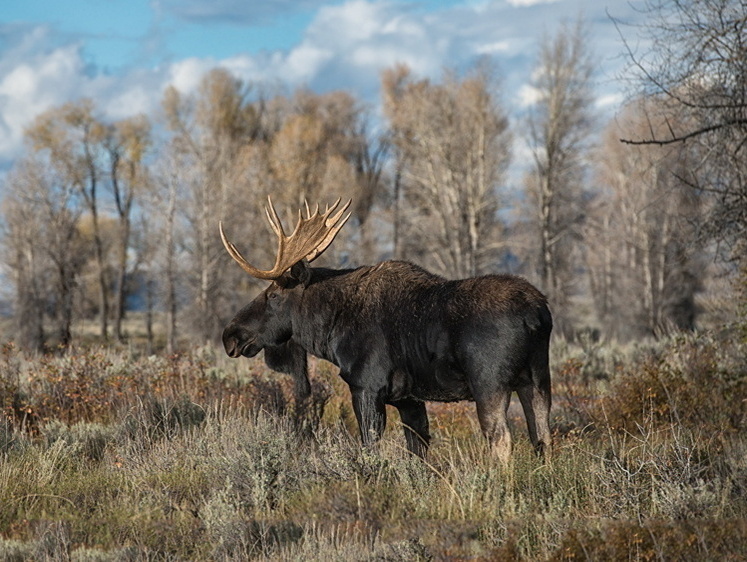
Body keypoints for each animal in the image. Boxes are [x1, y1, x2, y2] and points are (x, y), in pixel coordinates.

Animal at [219, 197, 552, 460]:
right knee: (542, 437)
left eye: (273, 294)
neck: (329, 331)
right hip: (537, 379)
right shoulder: (409, 399)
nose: (230, 336)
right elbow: (418, 452)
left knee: (502, 440)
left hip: (490, 383)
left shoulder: (366, 386)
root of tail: (537, 314)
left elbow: (370, 447)